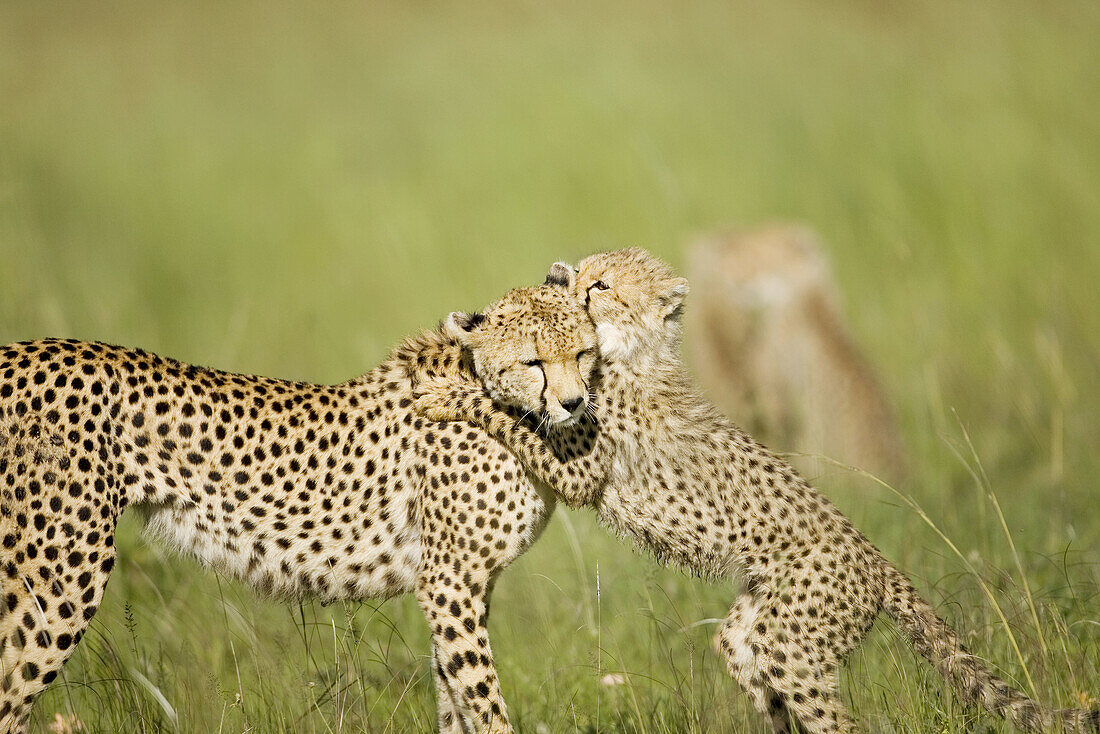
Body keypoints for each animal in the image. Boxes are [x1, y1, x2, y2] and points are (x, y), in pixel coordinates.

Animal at [2, 283, 594, 734]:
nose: (575, 403)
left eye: (583, 353)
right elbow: (484, 702)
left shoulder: (460, 587)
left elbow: (455, 701)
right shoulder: (451, 582)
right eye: (533, 361)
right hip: (57, 581)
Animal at [413, 253, 1100, 734]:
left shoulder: (580, 454)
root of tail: (878, 561)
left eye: (603, 285)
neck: (629, 354)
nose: (568, 279)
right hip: (755, 629)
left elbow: (507, 414)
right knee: (754, 670)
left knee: (836, 719)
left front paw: (448, 392)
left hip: (797, 643)